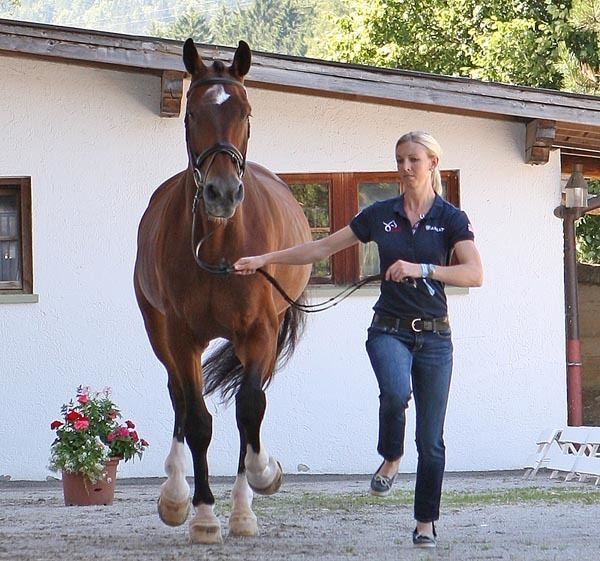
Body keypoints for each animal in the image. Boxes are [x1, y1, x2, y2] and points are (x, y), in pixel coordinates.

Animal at [134, 37, 312, 540]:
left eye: (246, 112)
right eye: (191, 114)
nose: (221, 193)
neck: (217, 246)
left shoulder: (259, 331)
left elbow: (250, 408)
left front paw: (259, 481)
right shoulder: (180, 337)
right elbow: (196, 418)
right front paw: (203, 514)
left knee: (247, 404)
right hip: (158, 332)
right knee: (178, 396)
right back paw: (176, 495)